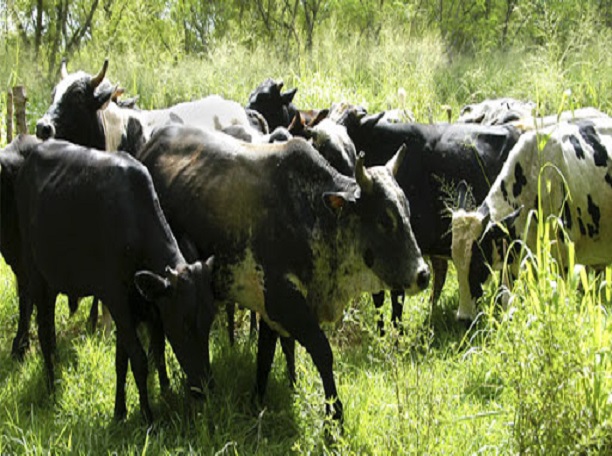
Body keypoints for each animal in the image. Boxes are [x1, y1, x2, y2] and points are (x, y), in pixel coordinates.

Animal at [16, 140, 215, 424]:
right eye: (184, 324)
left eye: (210, 320)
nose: (205, 387)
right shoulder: (116, 299)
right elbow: (139, 359)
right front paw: (147, 416)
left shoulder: (133, 306)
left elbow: (123, 360)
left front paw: (119, 411)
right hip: (36, 275)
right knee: (44, 332)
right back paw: (52, 387)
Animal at [134, 124, 430, 424]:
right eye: (384, 219)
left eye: (407, 211)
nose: (423, 274)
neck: (312, 214)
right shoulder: (283, 301)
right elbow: (322, 353)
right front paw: (334, 417)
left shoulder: (272, 309)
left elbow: (266, 357)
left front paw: (258, 401)